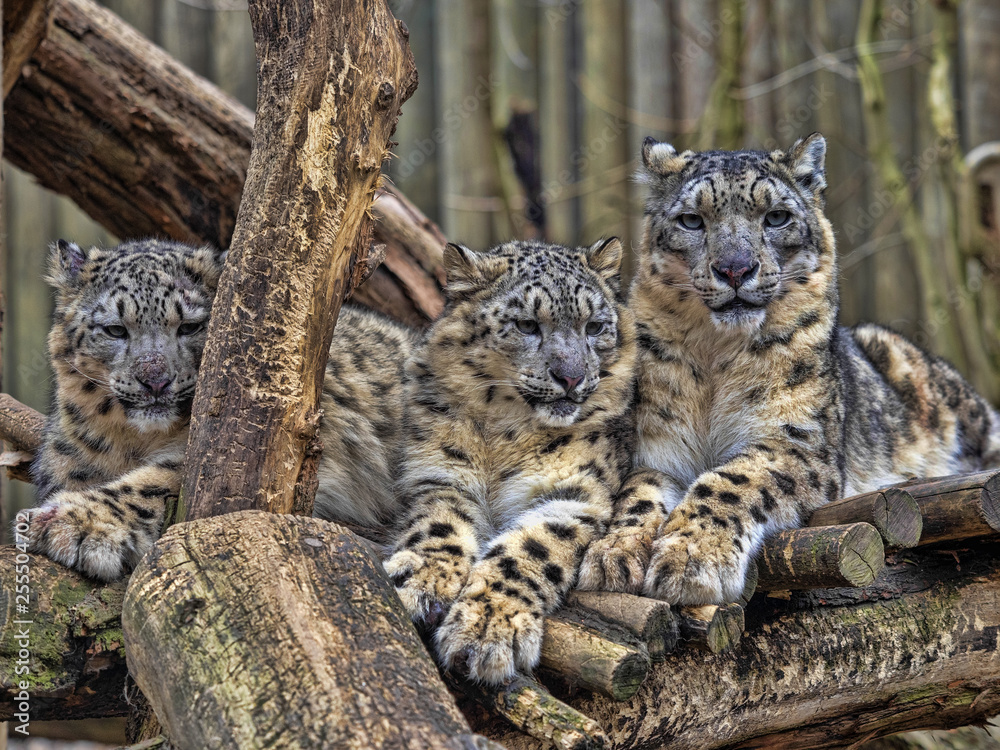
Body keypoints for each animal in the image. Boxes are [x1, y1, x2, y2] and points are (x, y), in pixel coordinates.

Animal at [23, 238, 416, 580]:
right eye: (115, 330)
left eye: (190, 326)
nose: (155, 380)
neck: (134, 442)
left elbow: (157, 480)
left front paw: (75, 522)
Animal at [382, 238, 637, 685]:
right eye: (527, 325)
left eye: (594, 326)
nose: (571, 377)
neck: (504, 433)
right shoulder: (440, 474)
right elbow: (439, 522)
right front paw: (421, 577)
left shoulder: (575, 492)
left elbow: (530, 548)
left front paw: (489, 627)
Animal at [578, 133, 1000, 606]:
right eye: (691, 220)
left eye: (776, 216)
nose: (736, 269)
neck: (714, 357)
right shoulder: (659, 449)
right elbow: (636, 496)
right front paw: (612, 553)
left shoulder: (797, 440)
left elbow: (730, 481)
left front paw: (691, 559)